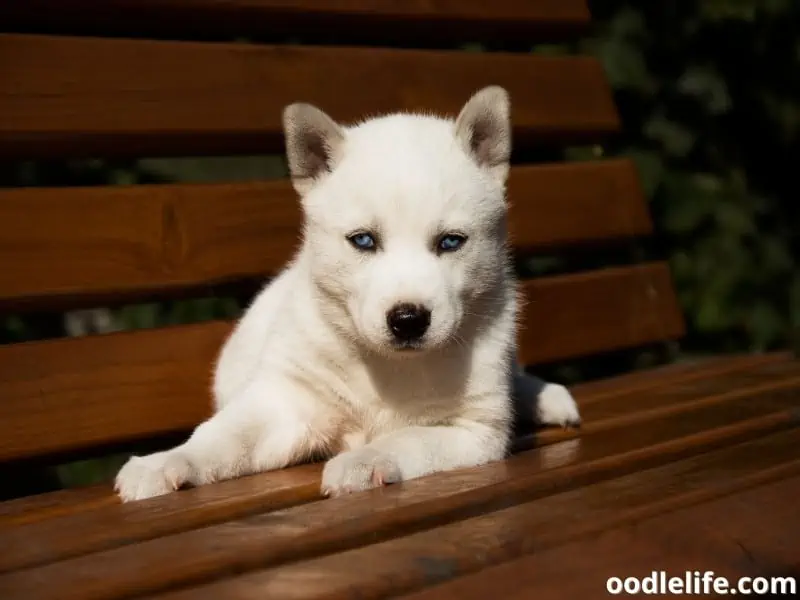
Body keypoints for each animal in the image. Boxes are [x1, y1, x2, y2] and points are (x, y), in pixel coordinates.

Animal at [115, 85, 580, 502]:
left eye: (451, 242)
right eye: (363, 240)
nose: (408, 319)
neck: (386, 369)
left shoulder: (472, 430)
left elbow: (408, 438)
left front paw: (364, 460)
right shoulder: (285, 403)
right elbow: (220, 437)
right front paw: (164, 462)